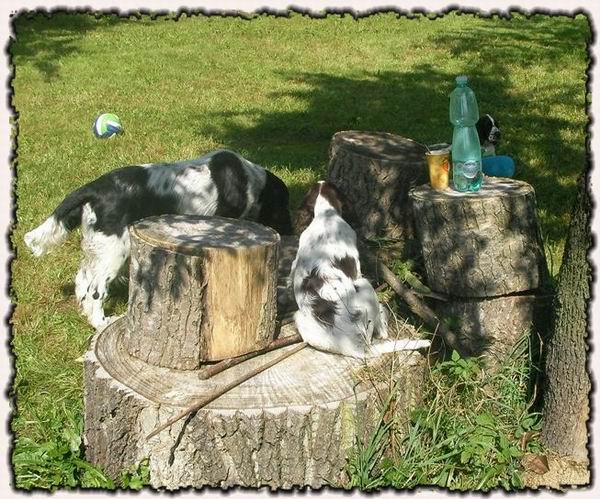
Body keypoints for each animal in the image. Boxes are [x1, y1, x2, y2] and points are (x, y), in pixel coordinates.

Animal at [24, 149, 293, 330]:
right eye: (283, 205)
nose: (291, 229)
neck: (249, 180)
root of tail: (93, 189)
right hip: (114, 251)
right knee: (95, 290)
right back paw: (101, 322)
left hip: (96, 247)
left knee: (81, 280)